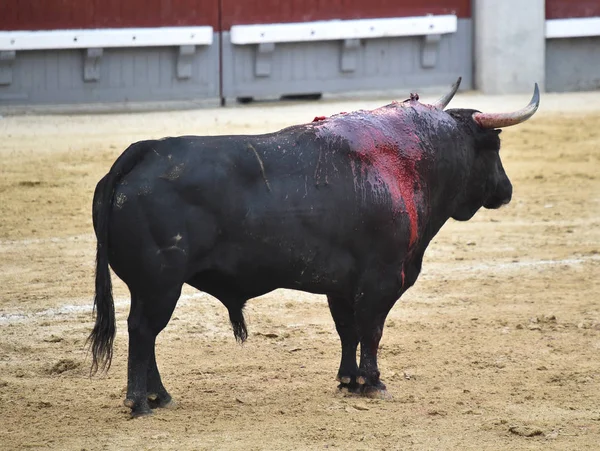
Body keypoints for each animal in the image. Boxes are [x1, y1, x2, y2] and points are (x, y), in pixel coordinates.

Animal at [90, 79, 544, 418]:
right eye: (494, 147)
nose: (506, 190)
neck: (409, 161)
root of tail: (145, 151)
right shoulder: (381, 278)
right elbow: (371, 330)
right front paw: (373, 382)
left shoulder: (342, 285)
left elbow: (348, 330)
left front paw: (349, 381)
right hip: (160, 285)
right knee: (143, 330)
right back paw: (140, 402)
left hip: (148, 287)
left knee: (144, 334)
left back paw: (160, 396)